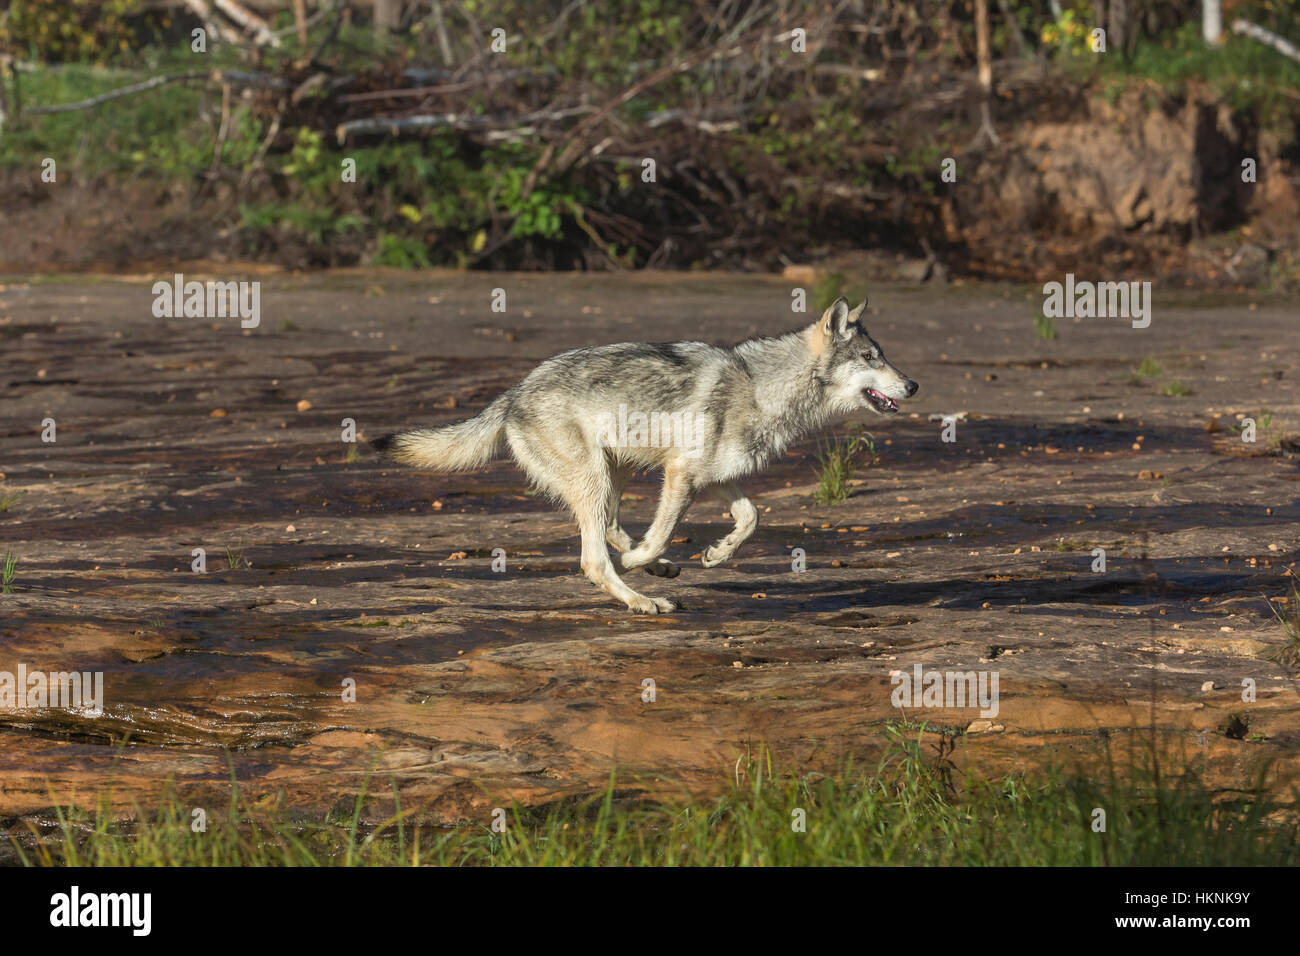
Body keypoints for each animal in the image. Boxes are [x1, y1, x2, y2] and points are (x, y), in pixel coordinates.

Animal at [371, 295, 920, 616]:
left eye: (884, 356)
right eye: (870, 359)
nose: (913, 385)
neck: (763, 387)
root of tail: (513, 392)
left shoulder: (717, 476)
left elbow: (752, 518)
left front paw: (716, 554)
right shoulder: (681, 474)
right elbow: (659, 536)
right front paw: (642, 560)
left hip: (615, 474)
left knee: (610, 528)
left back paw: (658, 574)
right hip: (597, 478)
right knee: (594, 559)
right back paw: (643, 597)